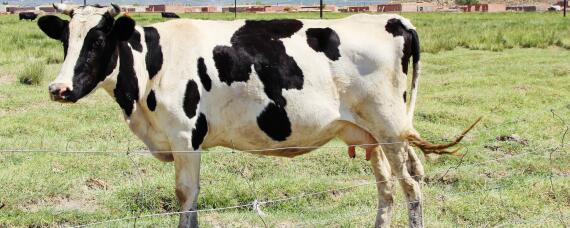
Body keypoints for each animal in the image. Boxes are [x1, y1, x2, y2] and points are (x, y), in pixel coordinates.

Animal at [37, 3, 478, 228]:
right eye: (65, 40)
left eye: (97, 41)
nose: (58, 89)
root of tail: (392, 18)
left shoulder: (185, 137)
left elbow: (186, 199)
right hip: (369, 133)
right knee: (387, 188)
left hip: (389, 129)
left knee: (411, 188)